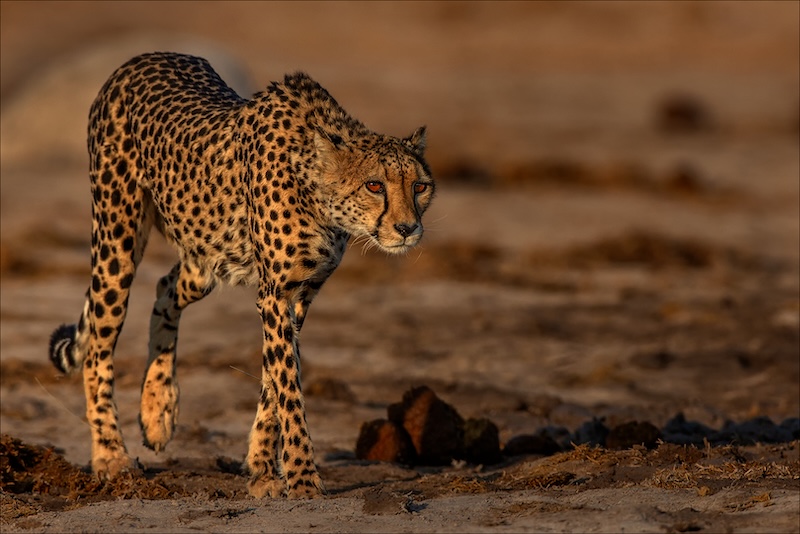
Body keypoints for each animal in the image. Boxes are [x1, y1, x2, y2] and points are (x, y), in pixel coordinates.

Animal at [47, 52, 434, 499]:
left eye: (421, 186)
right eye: (374, 185)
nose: (407, 228)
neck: (317, 188)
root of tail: (141, 58)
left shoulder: (298, 295)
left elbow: (273, 383)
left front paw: (263, 470)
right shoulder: (276, 295)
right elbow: (288, 389)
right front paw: (303, 480)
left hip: (203, 260)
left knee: (164, 290)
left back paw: (158, 411)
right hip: (117, 241)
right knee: (98, 348)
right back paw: (111, 456)